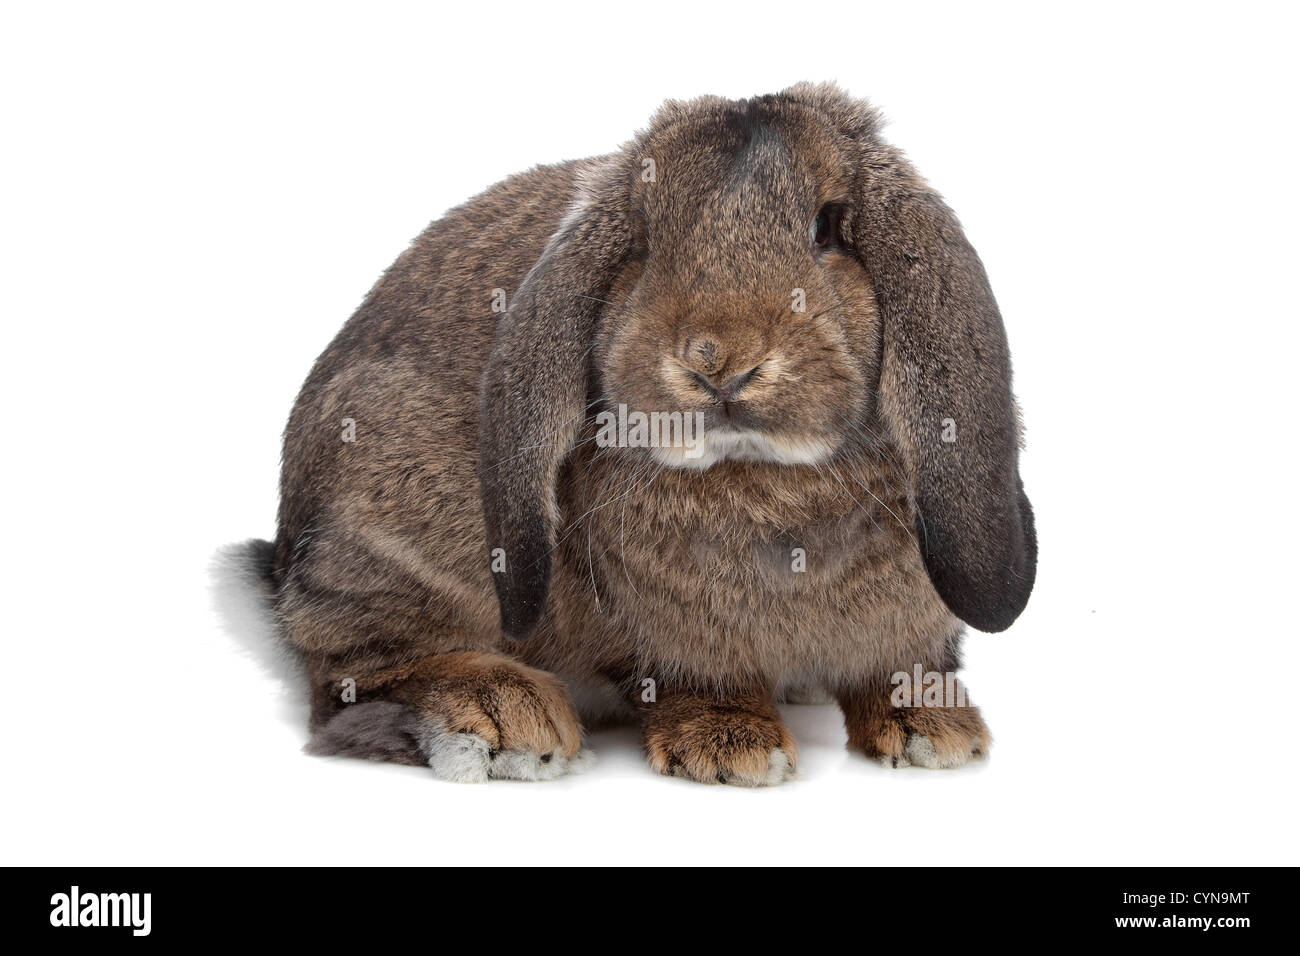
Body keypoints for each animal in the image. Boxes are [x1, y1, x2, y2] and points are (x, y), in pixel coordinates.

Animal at [263, 82, 1036, 786]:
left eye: (827, 228)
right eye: (645, 241)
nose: (718, 362)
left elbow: (899, 666)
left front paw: (934, 731)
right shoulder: (668, 638)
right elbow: (690, 677)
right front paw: (731, 749)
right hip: (402, 530)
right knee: (344, 673)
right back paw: (506, 716)